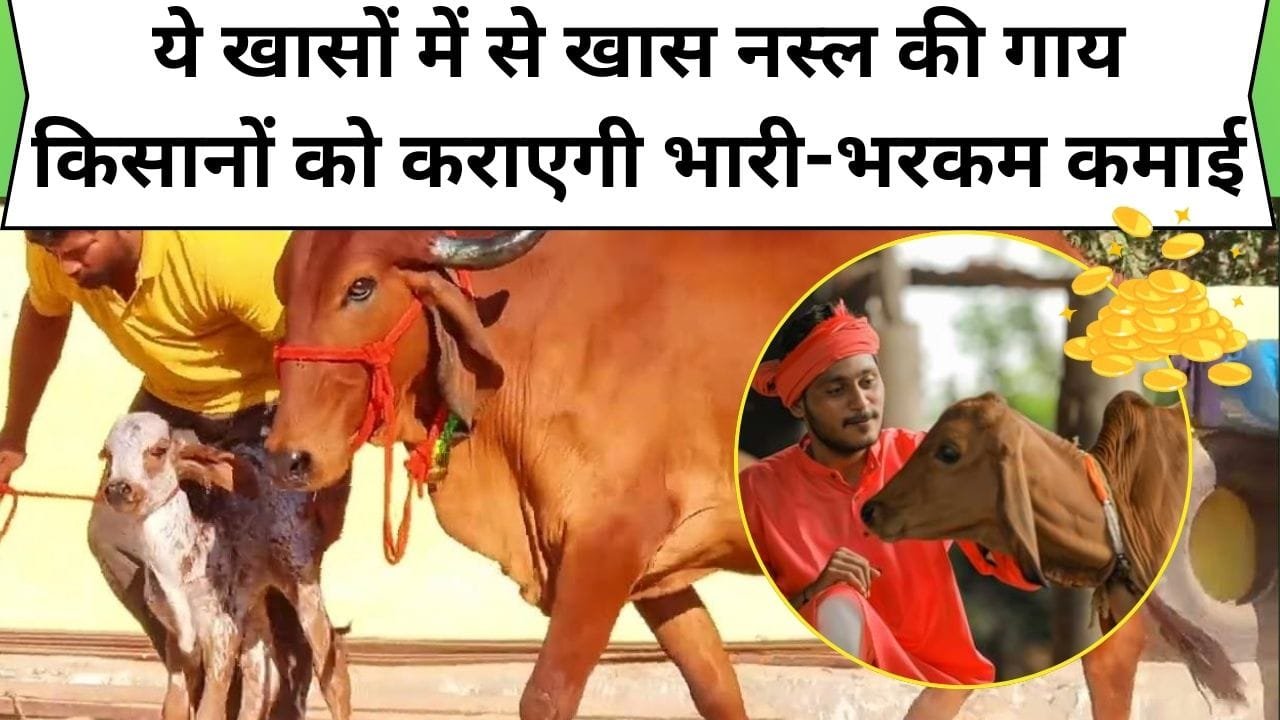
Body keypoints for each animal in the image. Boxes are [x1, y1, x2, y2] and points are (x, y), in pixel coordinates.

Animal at [260, 229, 1093, 720]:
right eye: (284, 288)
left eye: (360, 287)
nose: (289, 454)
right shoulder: (658, 577)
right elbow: (717, 691)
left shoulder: (605, 548)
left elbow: (548, 695)